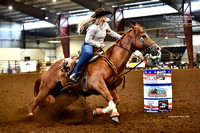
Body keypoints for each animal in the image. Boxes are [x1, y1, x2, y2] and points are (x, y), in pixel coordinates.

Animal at [28, 23, 160, 122]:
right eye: (143, 35)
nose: (157, 48)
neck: (111, 61)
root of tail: (46, 72)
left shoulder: (111, 87)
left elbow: (115, 100)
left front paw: (98, 112)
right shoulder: (98, 84)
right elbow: (109, 98)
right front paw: (114, 116)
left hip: (67, 95)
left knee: (52, 106)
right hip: (46, 89)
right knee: (33, 103)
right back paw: (30, 116)